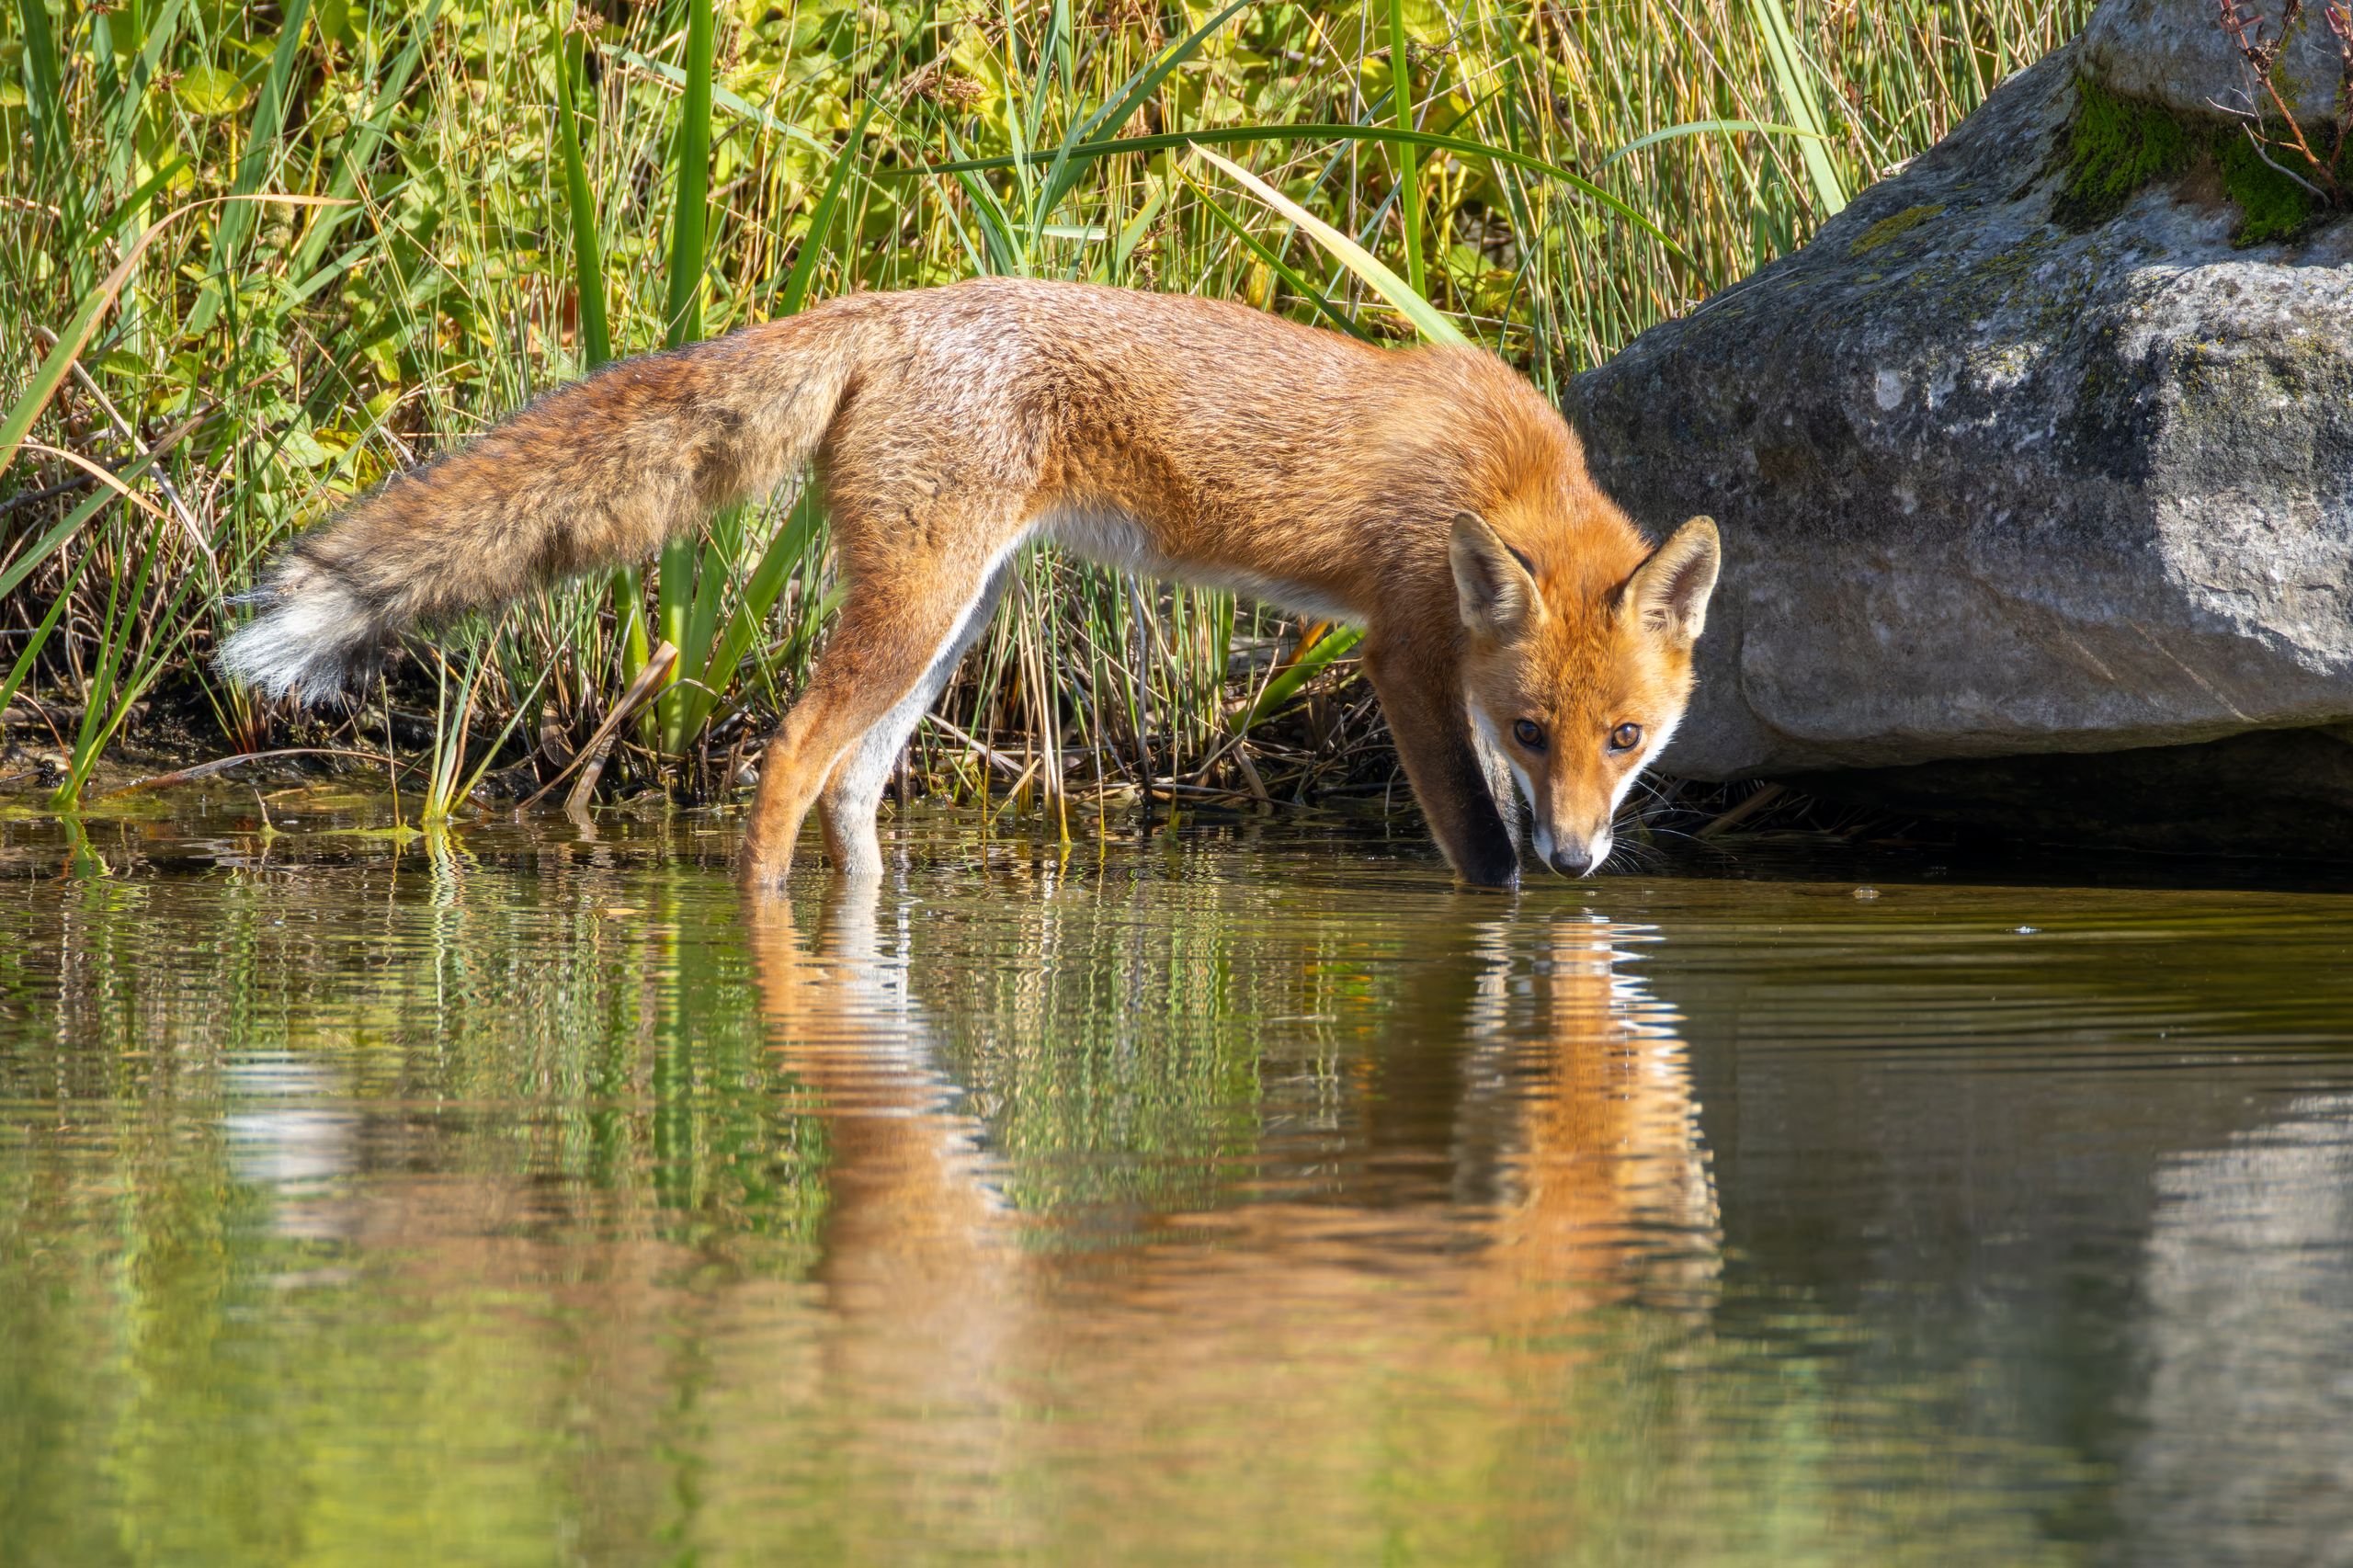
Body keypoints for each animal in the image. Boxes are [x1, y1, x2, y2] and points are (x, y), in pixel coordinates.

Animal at [218, 277, 1719, 891]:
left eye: (1625, 737)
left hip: (953, 625)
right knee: (786, 762)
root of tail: (896, 303)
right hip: (913, 613)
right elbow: (1478, 853)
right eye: (1533, 727)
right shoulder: (1404, 655)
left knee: (855, 790)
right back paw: (758, 916)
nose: (1583, 859)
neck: (1502, 472)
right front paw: (1522, 902)